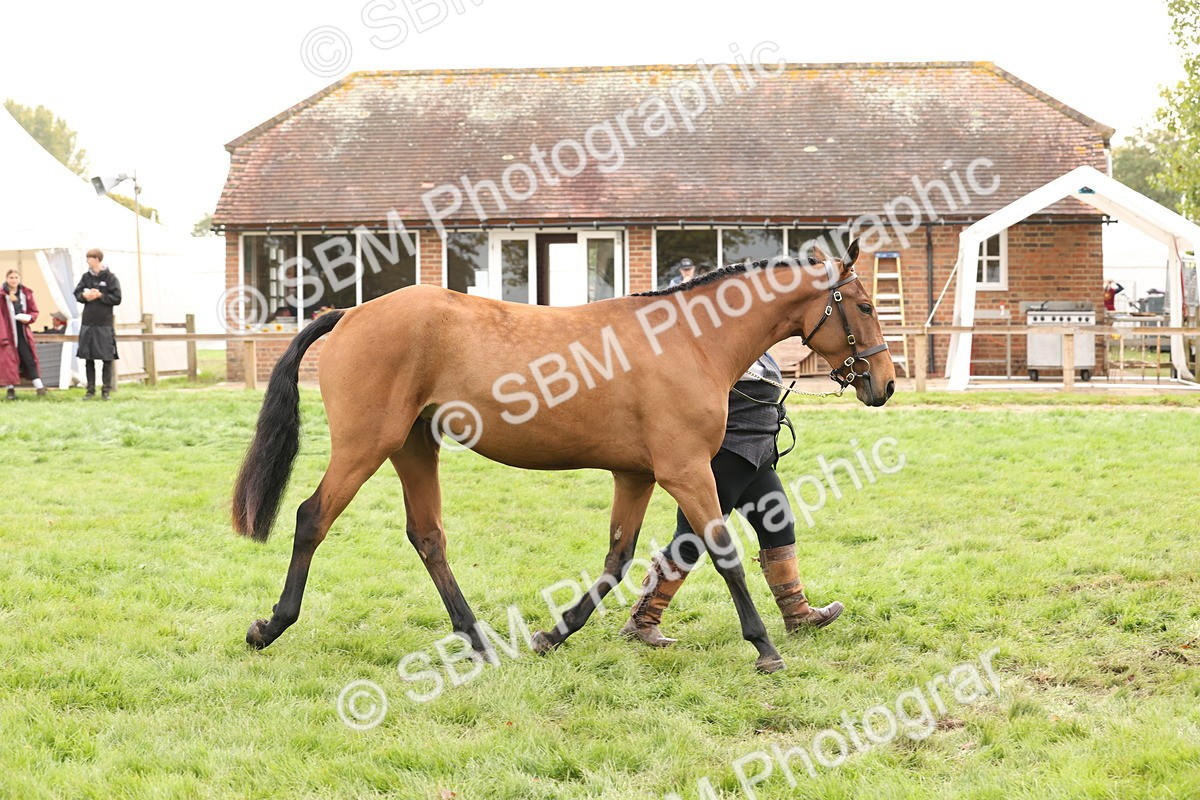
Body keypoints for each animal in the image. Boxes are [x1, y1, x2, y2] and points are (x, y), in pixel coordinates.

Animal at [232, 240, 895, 673]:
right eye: (863, 306)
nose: (884, 384)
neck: (689, 340)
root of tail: (349, 313)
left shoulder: (637, 475)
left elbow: (619, 560)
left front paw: (553, 635)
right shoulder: (685, 471)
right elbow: (724, 553)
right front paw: (765, 648)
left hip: (414, 448)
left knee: (427, 536)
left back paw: (480, 643)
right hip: (366, 446)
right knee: (312, 518)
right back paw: (270, 626)